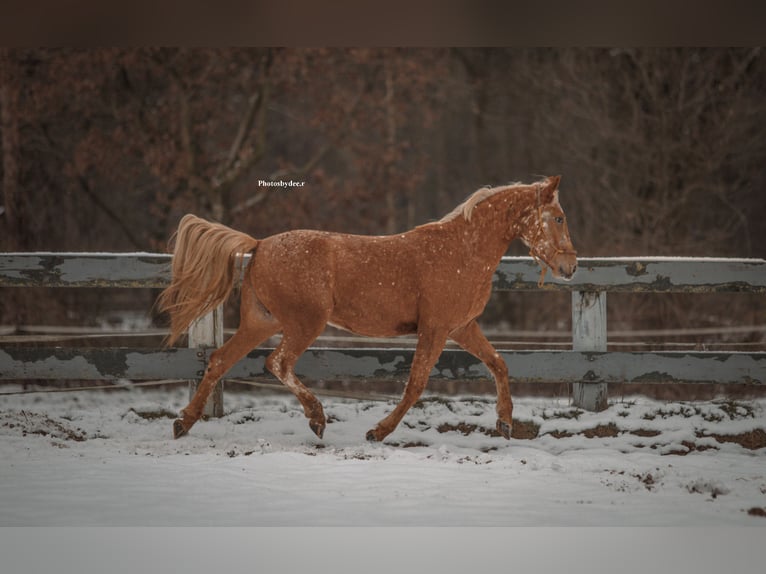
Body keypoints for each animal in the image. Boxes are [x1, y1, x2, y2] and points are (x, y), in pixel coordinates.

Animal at [160, 178, 576, 444]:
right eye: (559, 217)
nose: (570, 266)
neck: (463, 251)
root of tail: (259, 244)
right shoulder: (436, 328)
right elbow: (415, 384)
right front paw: (378, 431)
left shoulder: (462, 327)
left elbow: (499, 364)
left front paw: (505, 423)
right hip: (304, 322)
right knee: (277, 363)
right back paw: (317, 418)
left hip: (260, 322)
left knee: (219, 360)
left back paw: (183, 423)